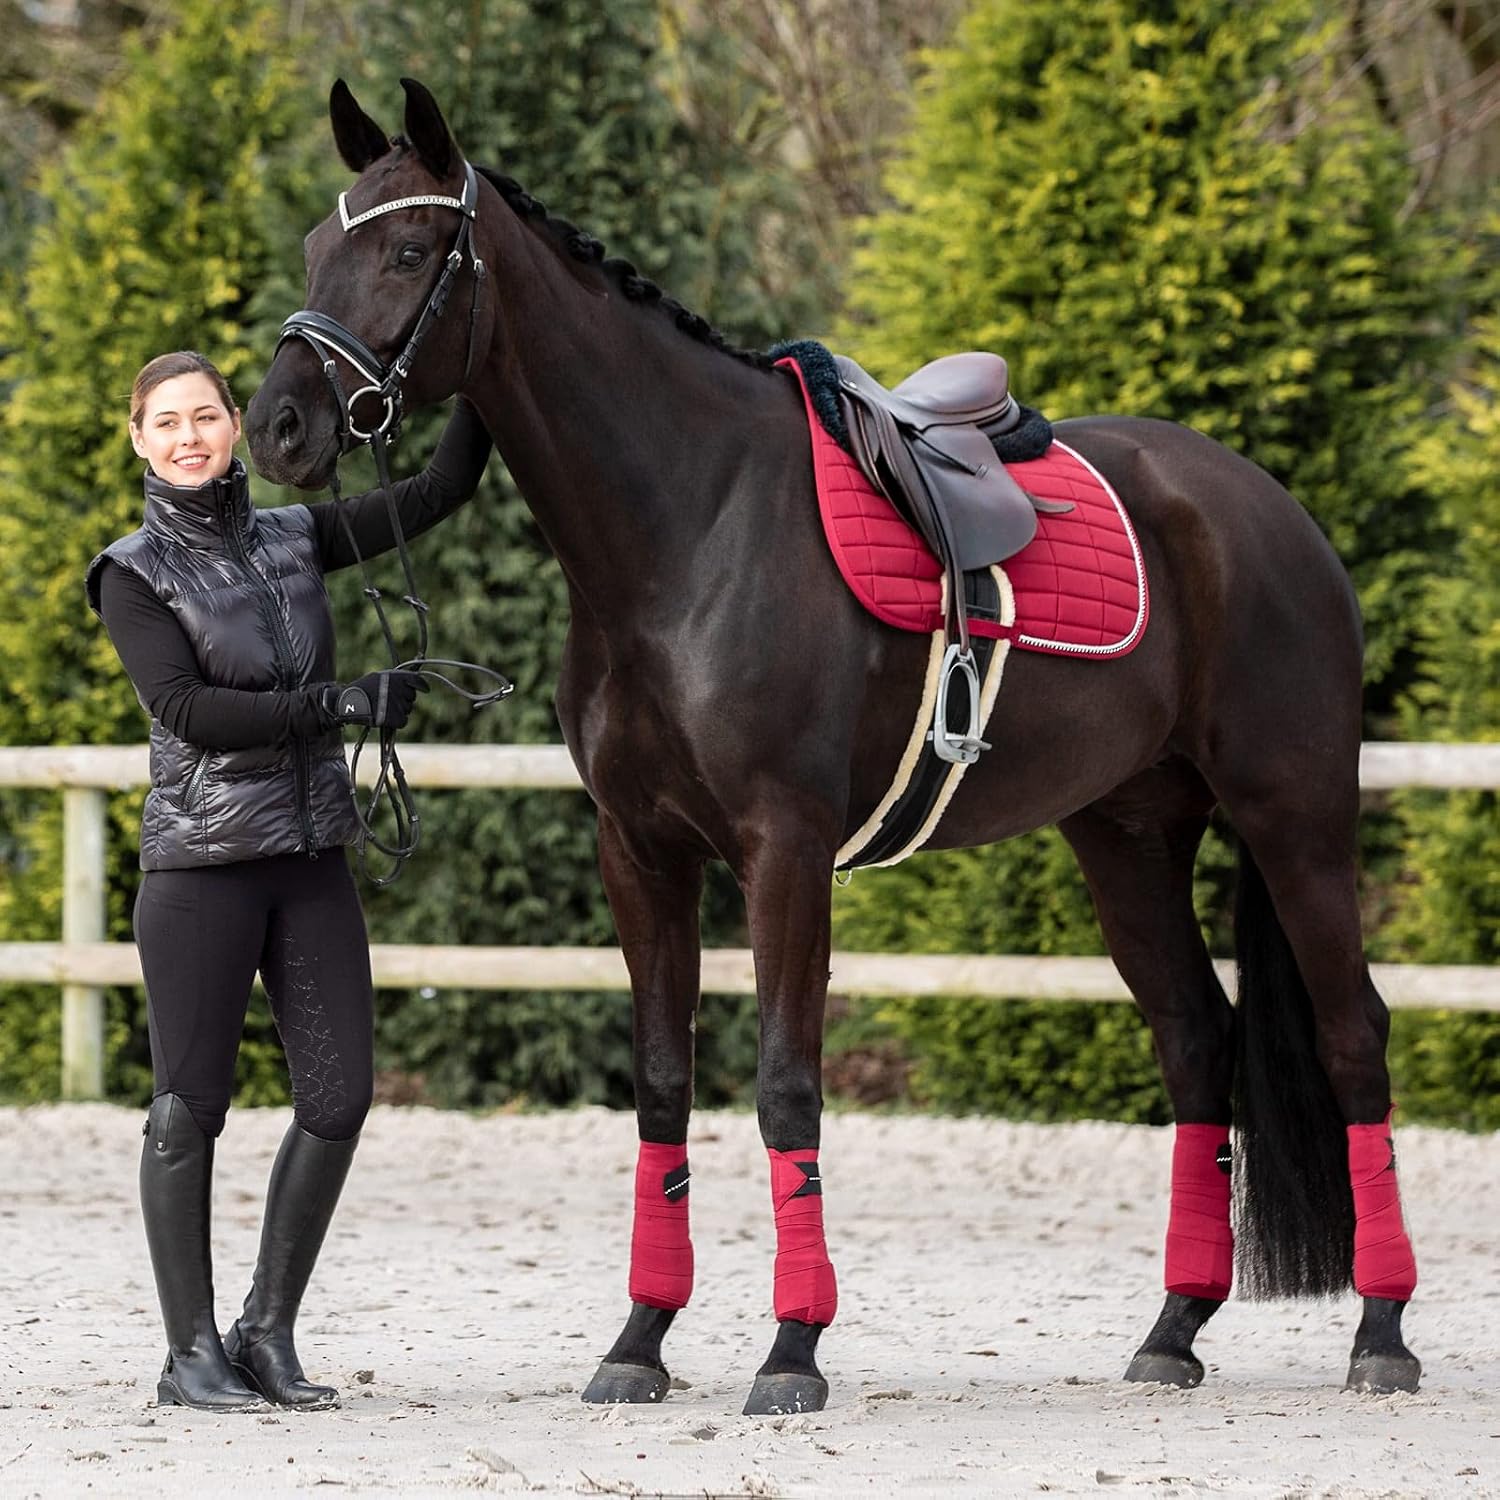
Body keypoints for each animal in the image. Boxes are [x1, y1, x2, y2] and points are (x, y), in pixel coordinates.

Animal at [245, 78, 1421, 1415]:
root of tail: (1267, 510)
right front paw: (639, 1340)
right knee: (1195, 1038)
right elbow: (663, 1086)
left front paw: (791, 1350)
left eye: (405, 251)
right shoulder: (640, 853)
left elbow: (783, 1085)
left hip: (1295, 820)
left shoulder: (785, 852)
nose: (277, 425)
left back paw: (1382, 1329)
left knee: (1353, 1034)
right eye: (313, 246)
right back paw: (1174, 1329)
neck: (689, 524)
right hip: (1127, 837)